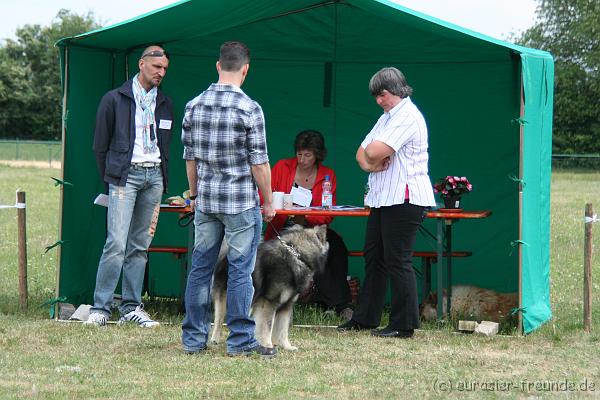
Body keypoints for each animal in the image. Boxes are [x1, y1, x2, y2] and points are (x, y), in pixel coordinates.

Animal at [210, 223, 328, 352]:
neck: (297, 254)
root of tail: (225, 255)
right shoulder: (269, 302)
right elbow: (267, 326)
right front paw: (268, 345)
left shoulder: (286, 305)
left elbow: (283, 329)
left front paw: (287, 346)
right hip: (225, 299)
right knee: (218, 321)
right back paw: (215, 340)